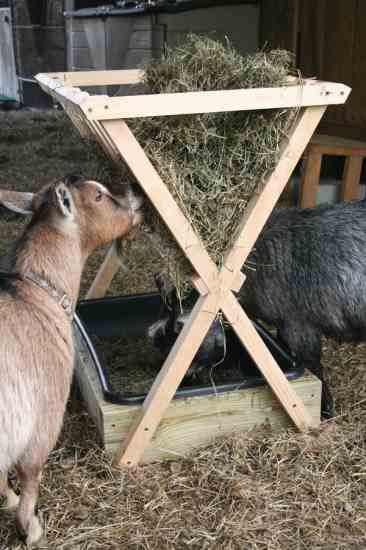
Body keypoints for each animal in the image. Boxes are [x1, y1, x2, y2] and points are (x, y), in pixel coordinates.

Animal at [0, 177, 142, 548]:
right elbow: (30, 474)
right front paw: (29, 526)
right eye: (99, 195)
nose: (136, 197)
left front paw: (8, 501)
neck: (35, 293)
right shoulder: (43, 417)